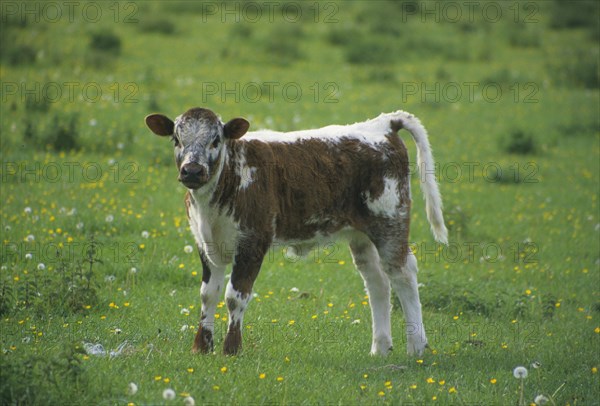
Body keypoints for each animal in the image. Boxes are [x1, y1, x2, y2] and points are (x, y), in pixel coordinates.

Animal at [144, 107, 446, 356]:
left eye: (216, 140)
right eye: (176, 139)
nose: (192, 170)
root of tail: (382, 124)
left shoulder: (253, 242)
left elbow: (235, 296)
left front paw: (231, 349)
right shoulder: (206, 245)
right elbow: (208, 294)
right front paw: (202, 346)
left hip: (390, 221)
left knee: (403, 274)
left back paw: (416, 347)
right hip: (361, 234)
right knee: (377, 282)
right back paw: (380, 348)